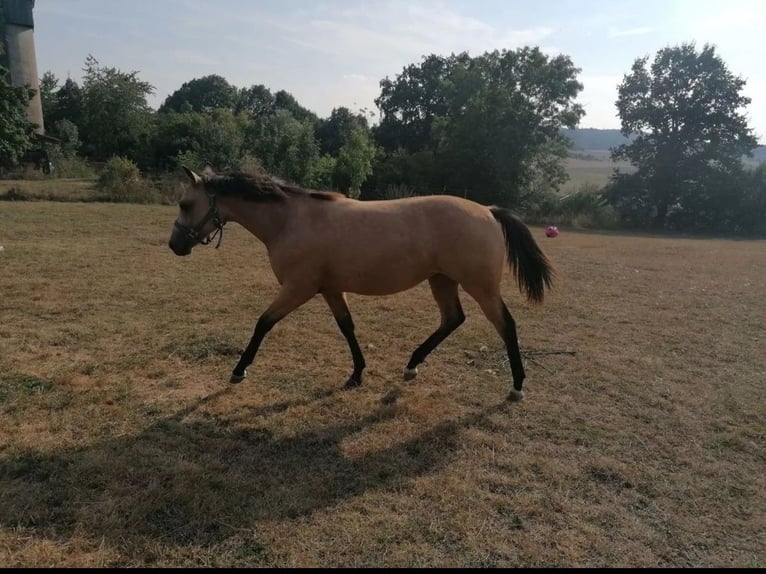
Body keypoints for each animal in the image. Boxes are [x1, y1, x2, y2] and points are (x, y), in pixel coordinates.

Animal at [168, 166, 556, 402]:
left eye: (185, 204)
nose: (174, 245)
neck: (290, 220)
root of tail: (488, 210)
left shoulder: (298, 288)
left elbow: (263, 323)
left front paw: (239, 371)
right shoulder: (329, 290)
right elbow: (347, 327)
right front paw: (356, 374)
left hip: (481, 287)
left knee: (506, 325)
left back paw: (517, 387)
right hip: (442, 280)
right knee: (452, 319)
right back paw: (412, 365)